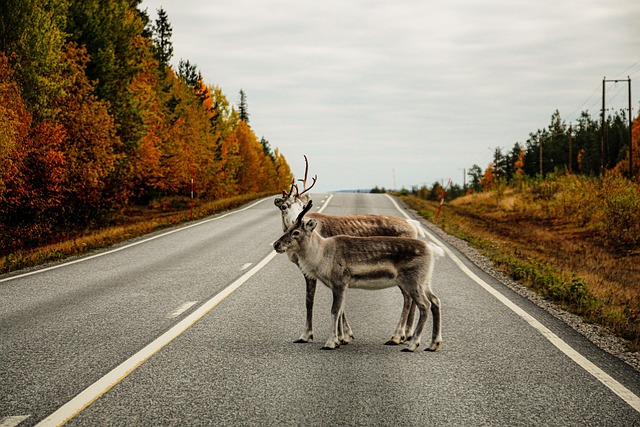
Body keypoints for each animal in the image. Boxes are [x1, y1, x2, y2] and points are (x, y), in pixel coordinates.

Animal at [274, 156, 428, 345]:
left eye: (302, 205)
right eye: (284, 206)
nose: (297, 221)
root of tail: (414, 225)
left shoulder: (316, 270)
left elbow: (311, 301)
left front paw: (311, 335)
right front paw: (343, 335)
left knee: (409, 298)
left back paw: (400, 335)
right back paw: (407, 334)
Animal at [274, 201, 444, 351]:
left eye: (296, 232)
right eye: (288, 229)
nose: (276, 244)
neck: (322, 252)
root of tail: (431, 249)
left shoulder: (339, 283)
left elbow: (334, 311)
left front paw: (330, 343)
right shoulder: (341, 286)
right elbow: (340, 311)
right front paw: (339, 340)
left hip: (413, 282)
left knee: (424, 305)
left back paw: (411, 344)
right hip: (424, 282)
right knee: (435, 301)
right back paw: (433, 344)